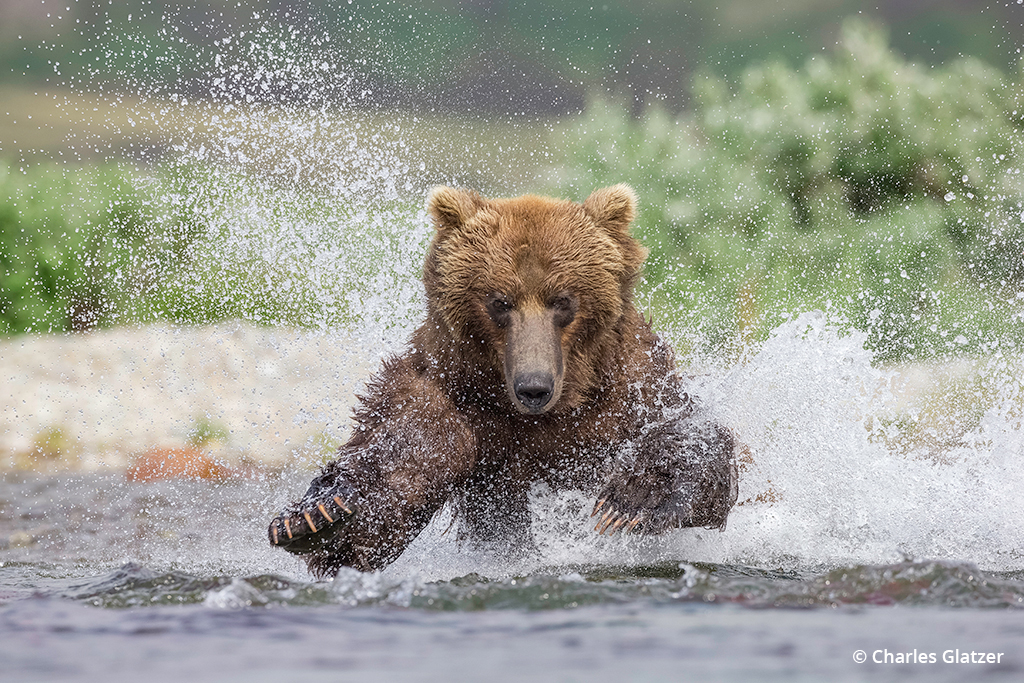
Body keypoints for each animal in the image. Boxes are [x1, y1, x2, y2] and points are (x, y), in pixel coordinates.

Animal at [268, 184, 741, 573]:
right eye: (500, 301)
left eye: (562, 300)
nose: (534, 387)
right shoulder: (451, 390)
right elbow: (405, 448)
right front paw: (314, 516)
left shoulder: (628, 388)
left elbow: (691, 435)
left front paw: (630, 500)